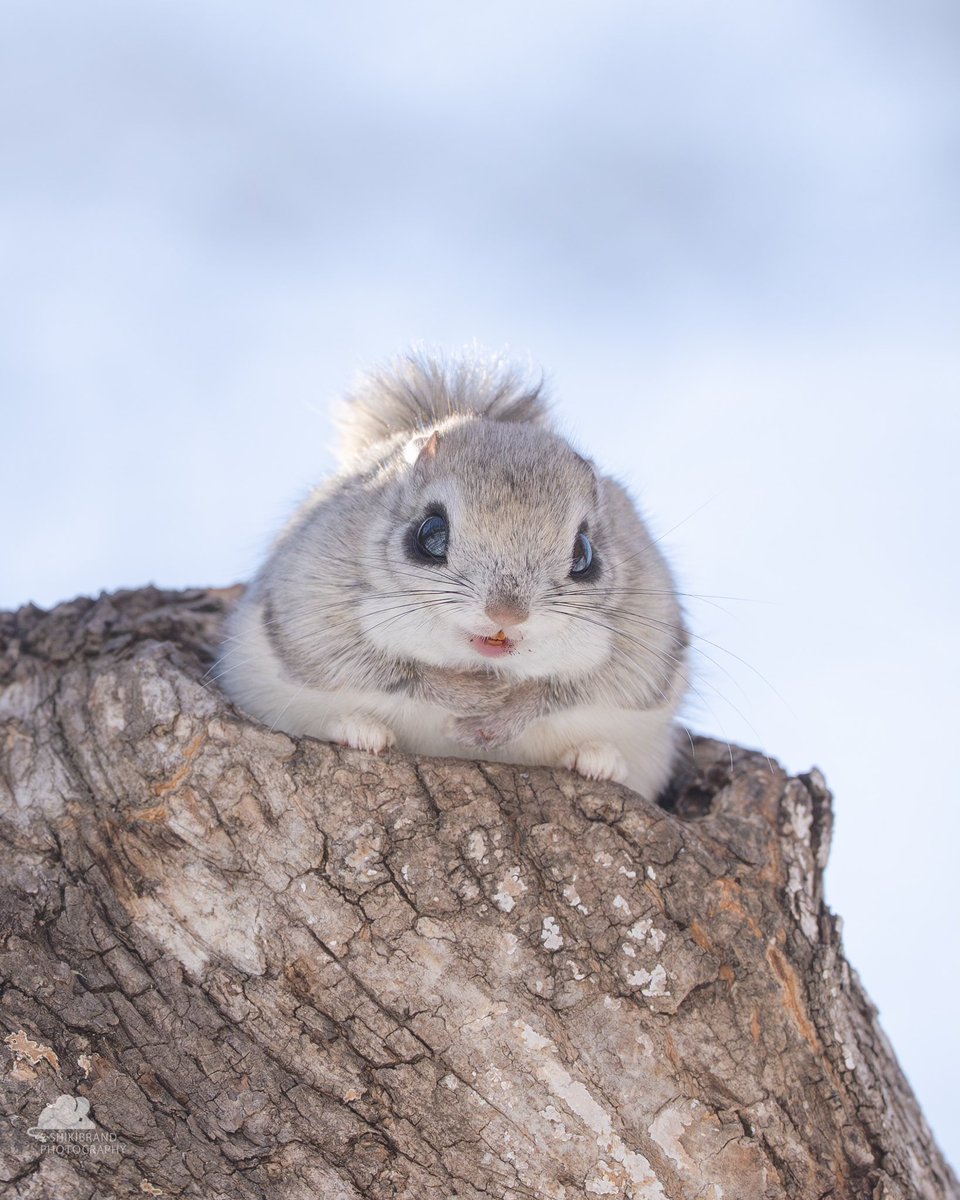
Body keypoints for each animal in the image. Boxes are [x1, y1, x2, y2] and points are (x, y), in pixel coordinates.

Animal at [216, 350, 689, 799]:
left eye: (585, 553)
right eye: (430, 533)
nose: (507, 615)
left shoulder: (645, 646)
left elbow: (576, 688)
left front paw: (503, 715)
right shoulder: (312, 609)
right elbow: (389, 670)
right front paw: (470, 698)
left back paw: (597, 759)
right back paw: (360, 731)